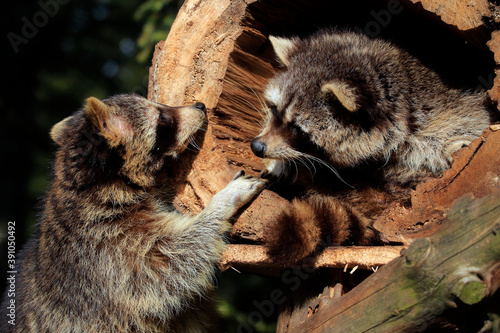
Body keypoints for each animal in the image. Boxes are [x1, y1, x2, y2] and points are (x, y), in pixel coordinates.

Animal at [0, 94, 266, 332]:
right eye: (162, 118)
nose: (200, 105)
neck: (95, 180)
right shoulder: (105, 245)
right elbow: (171, 262)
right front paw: (222, 202)